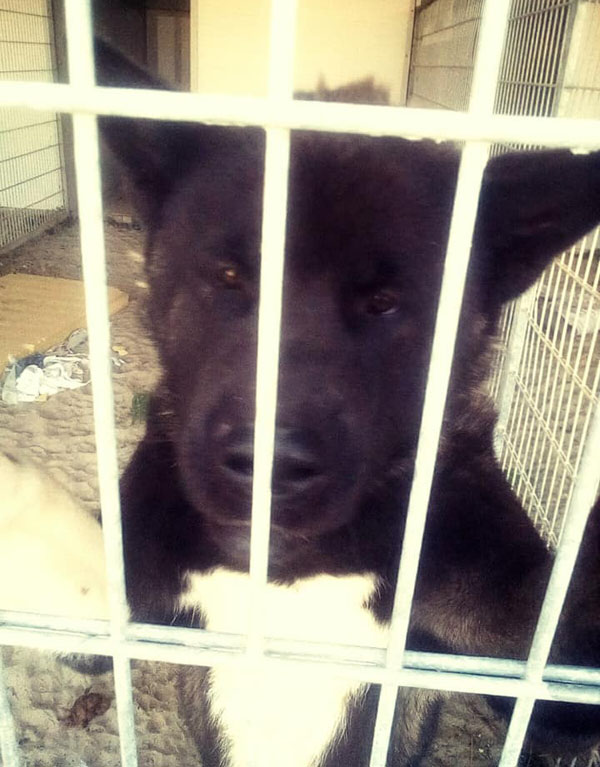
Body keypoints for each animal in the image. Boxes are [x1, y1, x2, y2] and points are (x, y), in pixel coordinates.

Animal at [2, 40, 600, 767]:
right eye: (231, 276)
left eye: (385, 302)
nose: (269, 467)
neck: (291, 565)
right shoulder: (111, 623)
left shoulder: (534, 661)